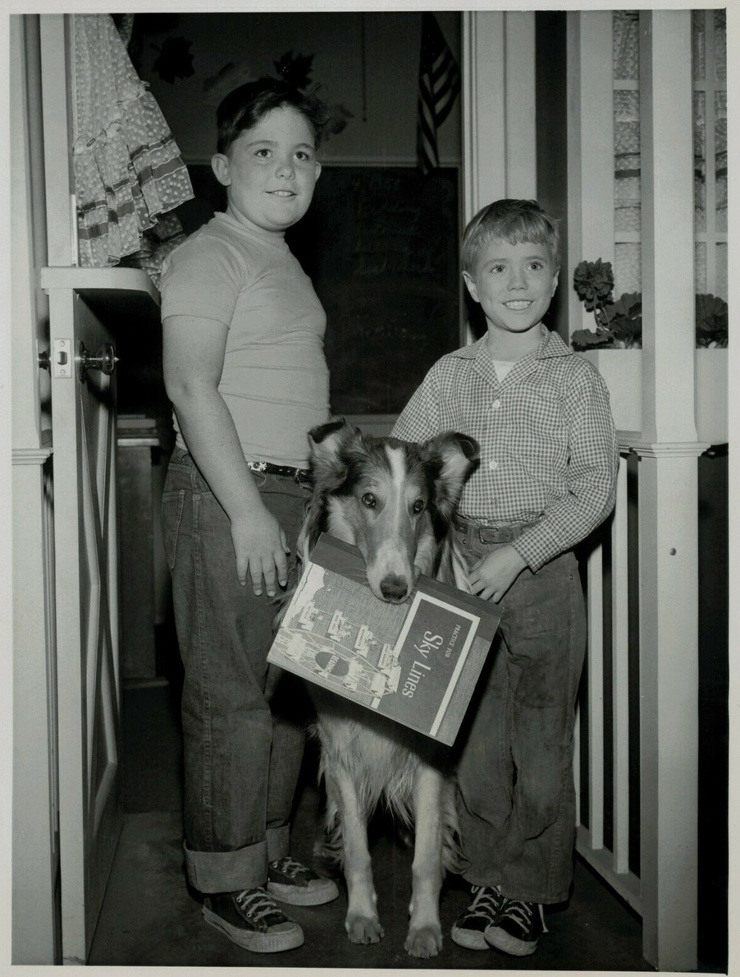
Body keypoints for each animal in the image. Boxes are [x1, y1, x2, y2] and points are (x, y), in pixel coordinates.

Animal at [300, 418, 480, 952]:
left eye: (418, 507)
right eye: (369, 499)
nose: (397, 590)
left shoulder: (431, 758)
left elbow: (426, 858)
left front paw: (424, 928)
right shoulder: (340, 750)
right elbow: (359, 850)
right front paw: (361, 917)